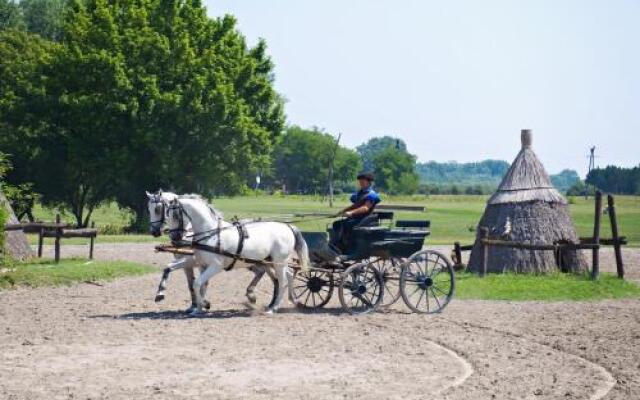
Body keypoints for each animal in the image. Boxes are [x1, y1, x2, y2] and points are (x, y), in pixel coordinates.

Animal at [162, 195, 308, 316]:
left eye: (174, 215)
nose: (174, 238)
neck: (211, 234)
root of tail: (288, 227)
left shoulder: (216, 266)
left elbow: (197, 283)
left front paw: (203, 304)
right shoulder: (203, 265)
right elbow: (200, 285)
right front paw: (199, 308)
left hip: (279, 262)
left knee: (282, 281)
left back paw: (273, 308)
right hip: (273, 261)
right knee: (289, 275)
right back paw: (293, 300)